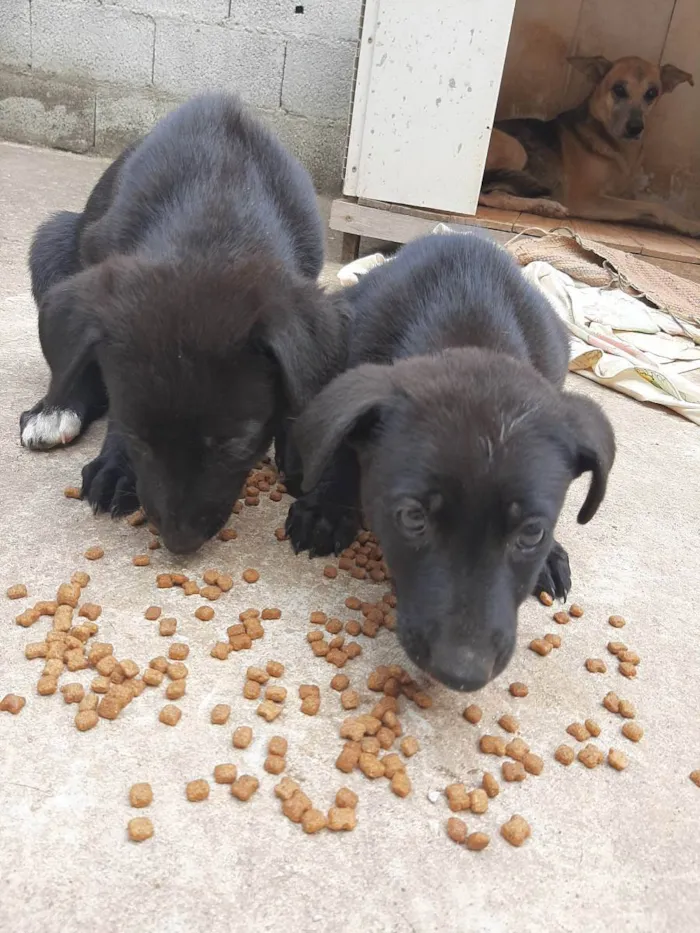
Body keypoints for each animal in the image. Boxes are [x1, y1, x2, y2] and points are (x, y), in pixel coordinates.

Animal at [23, 93, 346, 552]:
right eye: (138, 436)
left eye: (238, 443)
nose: (179, 542)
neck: (215, 215)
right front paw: (116, 466)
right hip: (52, 241)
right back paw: (54, 410)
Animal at [288, 237, 616, 688]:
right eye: (412, 517)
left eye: (533, 532)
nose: (462, 672)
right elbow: (339, 444)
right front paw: (326, 509)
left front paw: (549, 555)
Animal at [478, 56, 696, 237]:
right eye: (619, 89)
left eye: (652, 93)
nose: (635, 128)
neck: (612, 144)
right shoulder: (586, 198)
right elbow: (656, 207)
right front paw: (690, 225)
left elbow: (641, 208)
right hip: (516, 149)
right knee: (487, 196)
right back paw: (546, 206)